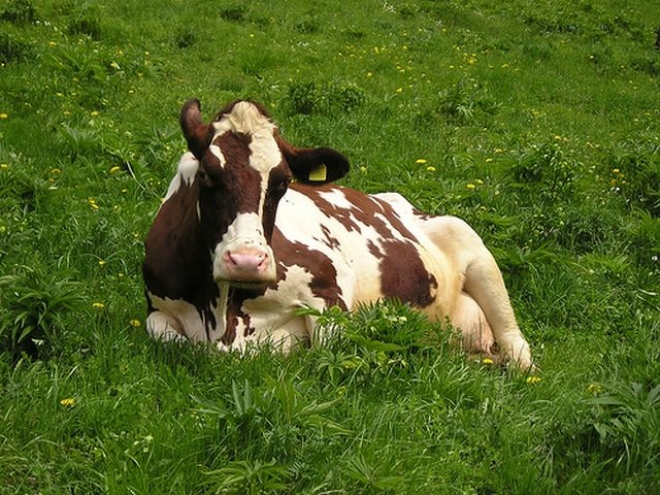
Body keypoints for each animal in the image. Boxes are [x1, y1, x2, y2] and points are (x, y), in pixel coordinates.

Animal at [142, 99, 532, 370]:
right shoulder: (157, 309)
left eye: (282, 182)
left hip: (475, 249)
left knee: (516, 343)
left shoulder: (331, 281)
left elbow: (324, 348)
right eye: (206, 174)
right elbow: (159, 329)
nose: (248, 261)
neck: (222, 314)